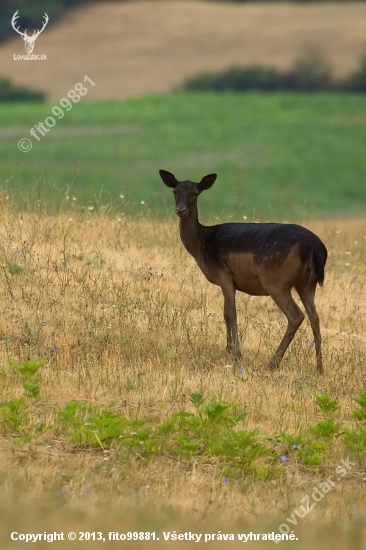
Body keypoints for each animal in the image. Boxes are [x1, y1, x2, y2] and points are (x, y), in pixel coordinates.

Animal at [159, 169, 328, 376]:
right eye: (175, 191)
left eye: (196, 193)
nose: (181, 210)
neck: (203, 244)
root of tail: (314, 247)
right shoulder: (228, 281)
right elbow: (225, 313)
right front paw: (228, 348)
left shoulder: (223, 274)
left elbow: (231, 313)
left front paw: (236, 354)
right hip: (307, 283)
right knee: (315, 317)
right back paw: (319, 368)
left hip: (276, 281)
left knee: (296, 316)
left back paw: (272, 363)